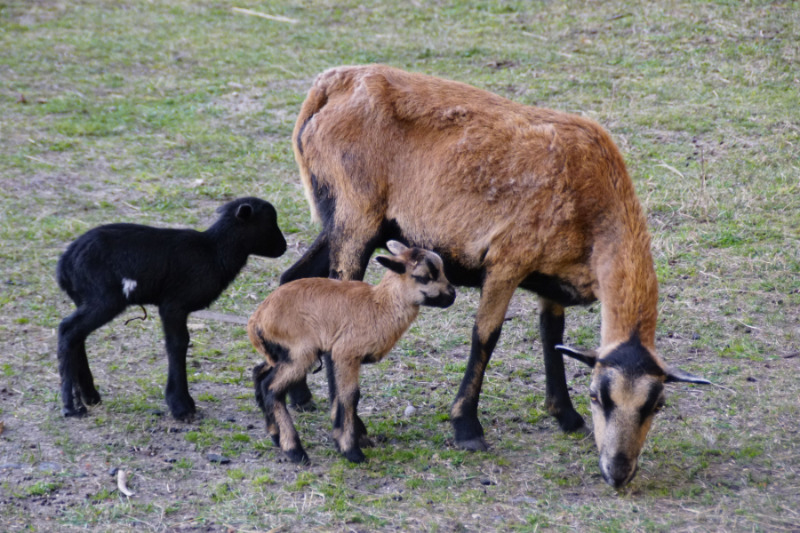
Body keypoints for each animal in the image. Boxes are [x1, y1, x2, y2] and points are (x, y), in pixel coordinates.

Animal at [56, 196, 288, 420]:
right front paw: (181, 406)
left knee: (77, 336)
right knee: (68, 330)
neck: (213, 251)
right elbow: (178, 344)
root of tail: (64, 266)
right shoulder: (173, 305)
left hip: (87, 299)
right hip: (104, 298)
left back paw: (89, 396)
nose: (283, 247)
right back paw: (71, 406)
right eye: (269, 222)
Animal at [280, 63, 708, 486]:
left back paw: (300, 397)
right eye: (597, 396)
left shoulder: (551, 278)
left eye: (657, 405)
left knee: (293, 278)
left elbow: (552, 336)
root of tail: (331, 84)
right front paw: (467, 429)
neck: (597, 211)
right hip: (356, 216)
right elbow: (485, 337)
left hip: (343, 218)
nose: (617, 473)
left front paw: (566, 417)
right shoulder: (507, 260)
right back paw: (354, 428)